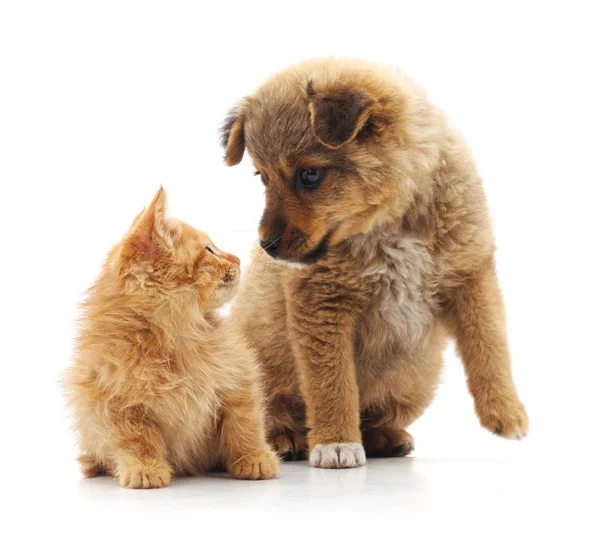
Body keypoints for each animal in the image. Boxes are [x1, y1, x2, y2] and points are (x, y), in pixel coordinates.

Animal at [62, 188, 278, 490]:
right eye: (209, 250)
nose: (236, 259)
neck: (176, 338)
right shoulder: (113, 403)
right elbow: (137, 439)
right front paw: (145, 469)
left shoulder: (238, 381)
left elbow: (245, 425)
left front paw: (254, 459)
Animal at [219, 57, 524, 468]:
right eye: (263, 178)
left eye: (310, 174)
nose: (267, 246)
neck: (390, 221)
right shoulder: (322, 305)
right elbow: (333, 385)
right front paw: (336, 442)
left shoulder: (471, 275)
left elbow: (490, 346)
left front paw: (507, 413)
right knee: (267, 418)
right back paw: (288, 439)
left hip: (414, 381)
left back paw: (385, 437)